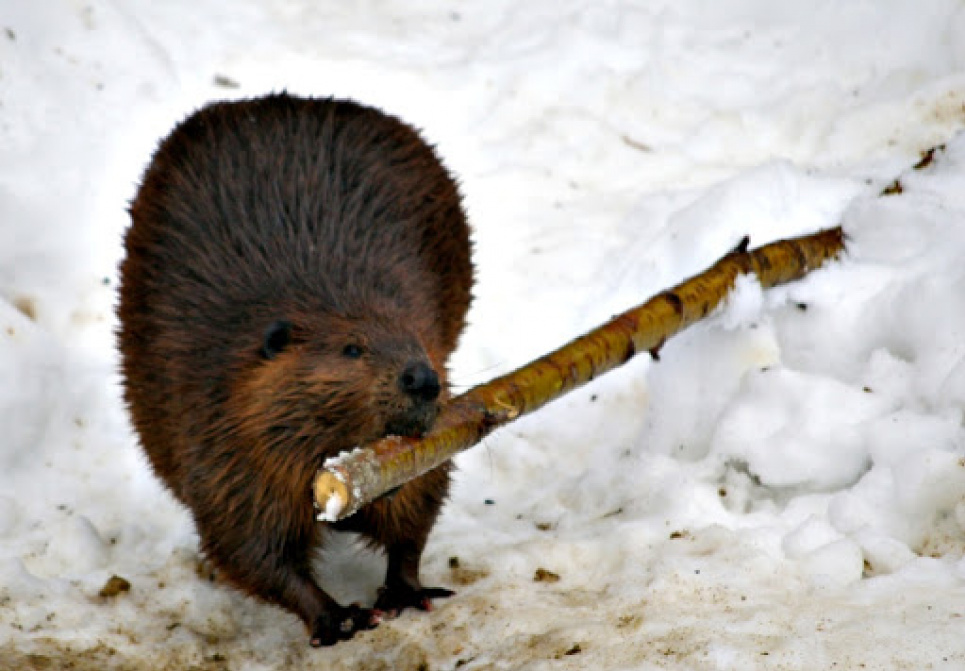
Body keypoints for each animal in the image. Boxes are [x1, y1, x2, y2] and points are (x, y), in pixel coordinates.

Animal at [116, 93, 474, 644]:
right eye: (352, 349)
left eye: (423, 348)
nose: (422, 378)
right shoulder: (221, 437)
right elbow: (248, 545)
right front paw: (339, 616)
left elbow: (418, 504)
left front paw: (406, 591)